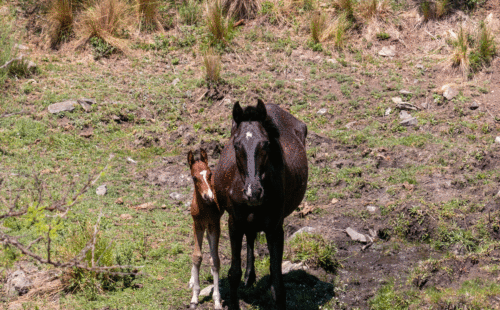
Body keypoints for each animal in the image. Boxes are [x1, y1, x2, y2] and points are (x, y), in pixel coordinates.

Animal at [213, 100, 306, 308]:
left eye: (265, 144)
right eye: (236, 145)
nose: (253, 193)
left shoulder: (275, 229)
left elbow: (278, 283)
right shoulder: (234, 223)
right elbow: (233, 273)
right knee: (250, 235)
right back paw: (249, 276)